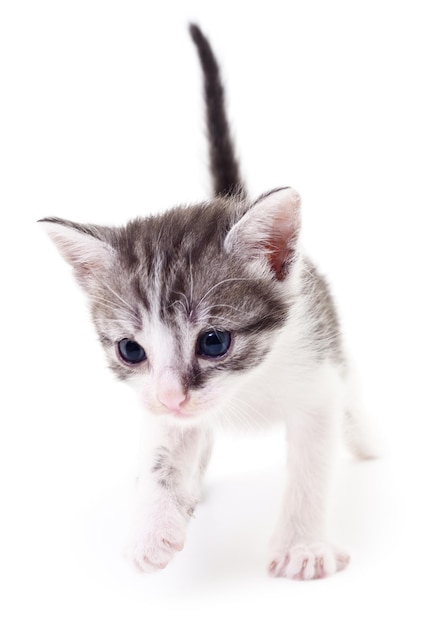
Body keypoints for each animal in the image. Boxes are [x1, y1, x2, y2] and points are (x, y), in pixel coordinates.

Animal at [41, 25, 378, 580]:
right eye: (130, 350)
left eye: (215, 342)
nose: (172, 397)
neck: (248, 388)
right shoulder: (158, 403)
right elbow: (162, 451)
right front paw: (152, 523)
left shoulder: (316, 378)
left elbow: (312, 462)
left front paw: (303, 545)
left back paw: (366, 440)